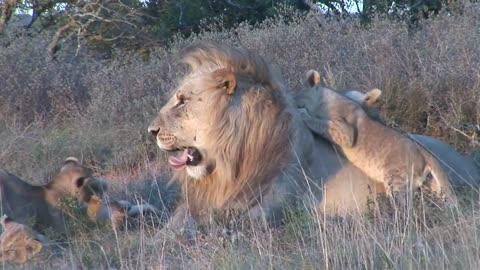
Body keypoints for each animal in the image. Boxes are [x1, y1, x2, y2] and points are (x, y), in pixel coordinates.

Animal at [294, 69, 456, 200]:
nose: (294, 106)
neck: (324, 99)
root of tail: (425, 152)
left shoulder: (346, 132)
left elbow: (320, 123)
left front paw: (302, 114)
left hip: (396, 177)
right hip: (433, 185)